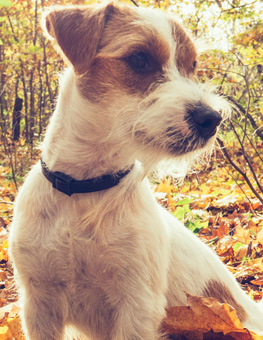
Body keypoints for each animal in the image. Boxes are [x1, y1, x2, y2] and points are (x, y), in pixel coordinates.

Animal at [8, 1, 263, 338]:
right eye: (140, 59)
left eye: (192, 66)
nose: (212, 119)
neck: (86, 188)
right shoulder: (38, 303)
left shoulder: (137, 304)